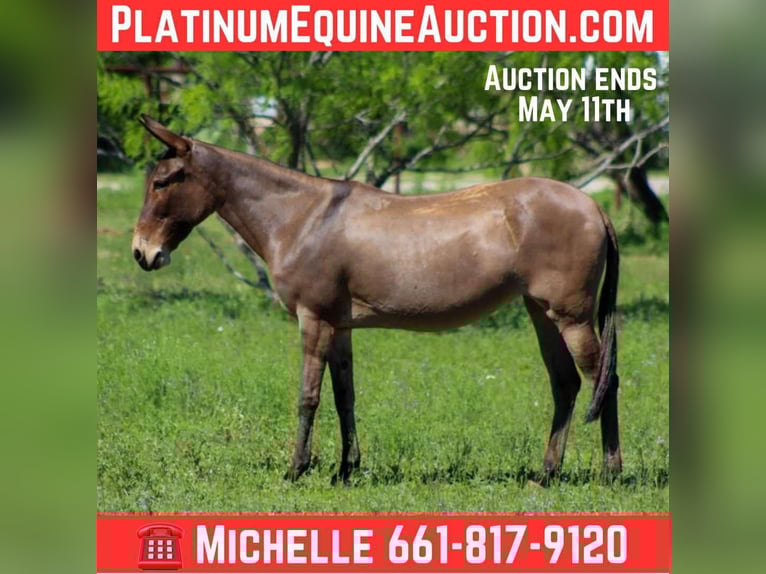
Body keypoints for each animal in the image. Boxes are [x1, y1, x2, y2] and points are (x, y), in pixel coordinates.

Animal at [131, 115, 622, 483]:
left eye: (163, 181)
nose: (142, 253)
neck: (302, 218)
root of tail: (593, 206)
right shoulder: (339, 326)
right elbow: (344, 395)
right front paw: (346, 470)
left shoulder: (313, 321)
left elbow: (308, 396)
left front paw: (297, 468)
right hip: (542, 314)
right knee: (566, 383)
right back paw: (547, 473)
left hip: (572, 318)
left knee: (604, 380)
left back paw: (610, 472)